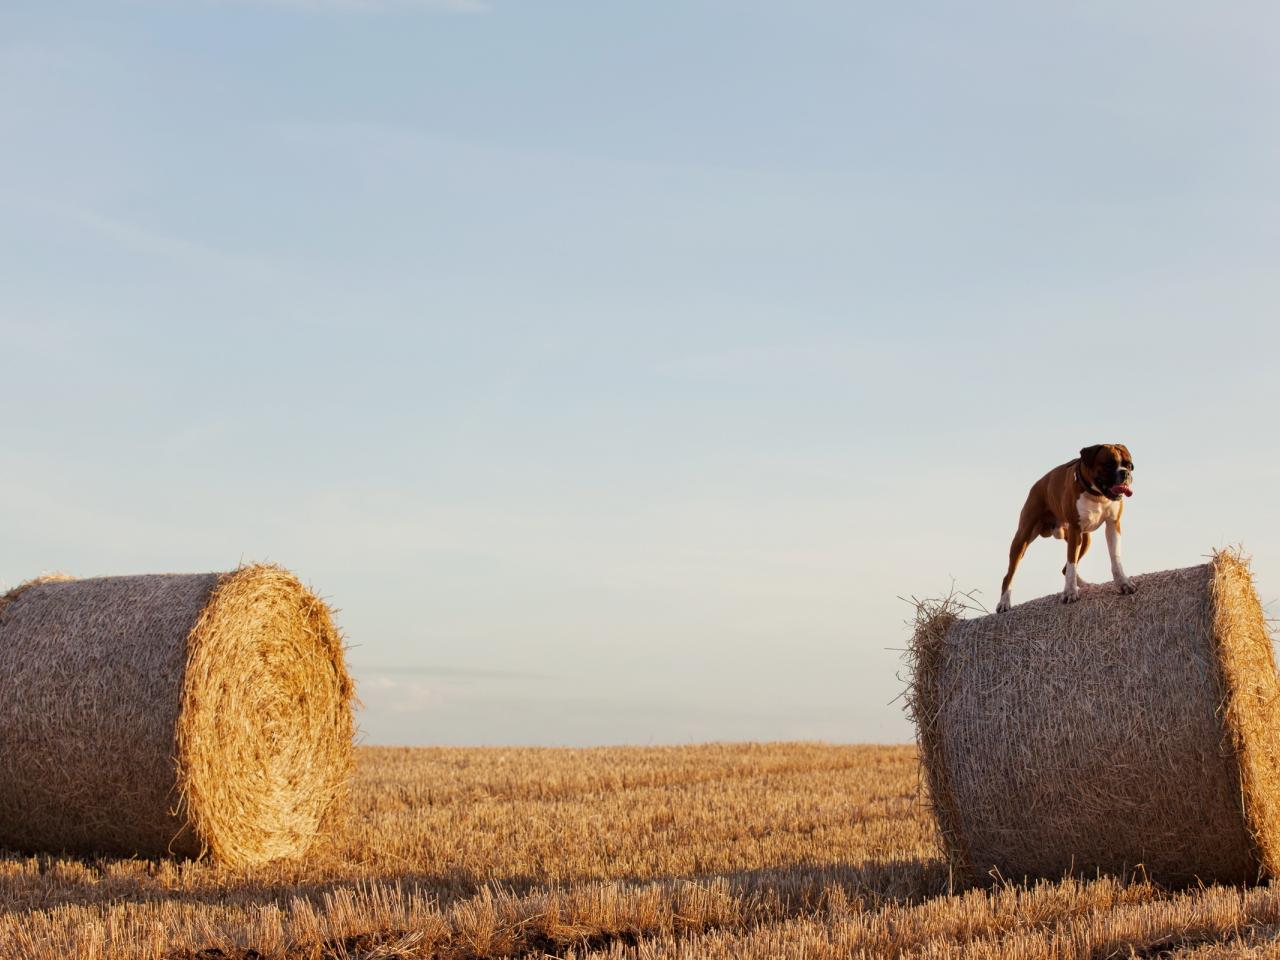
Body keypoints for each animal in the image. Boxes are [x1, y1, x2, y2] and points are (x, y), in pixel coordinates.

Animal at [993, 445, 1136, 616]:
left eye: (1129, 465)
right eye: (1108, 464)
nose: (1125, 473)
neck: (1096, 495)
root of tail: (1039, 483)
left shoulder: (1113, 525)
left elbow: (1115, 558)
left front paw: (1123, 583)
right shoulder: (1075, 529)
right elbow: (1071, 562)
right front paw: (1069, 593)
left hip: (1084, 540)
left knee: (1064, 569)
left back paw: (1086, 585)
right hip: (1022, 538)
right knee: (1009, 575)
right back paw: (1004, 602)